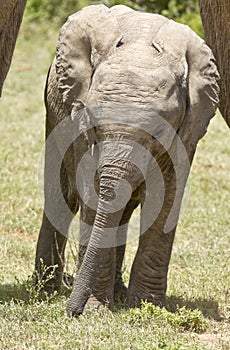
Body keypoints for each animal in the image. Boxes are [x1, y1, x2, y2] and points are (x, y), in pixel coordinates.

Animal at [34, 4, 219, 316]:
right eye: (94, 122)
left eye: (159, 131)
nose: (71, 312)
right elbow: (93, 195)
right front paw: (96, 310)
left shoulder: (186, 131)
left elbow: (165, 200)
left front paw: (147, 306)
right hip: (54, 113)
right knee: (64, 199)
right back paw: (45, 291)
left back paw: (116, 294)